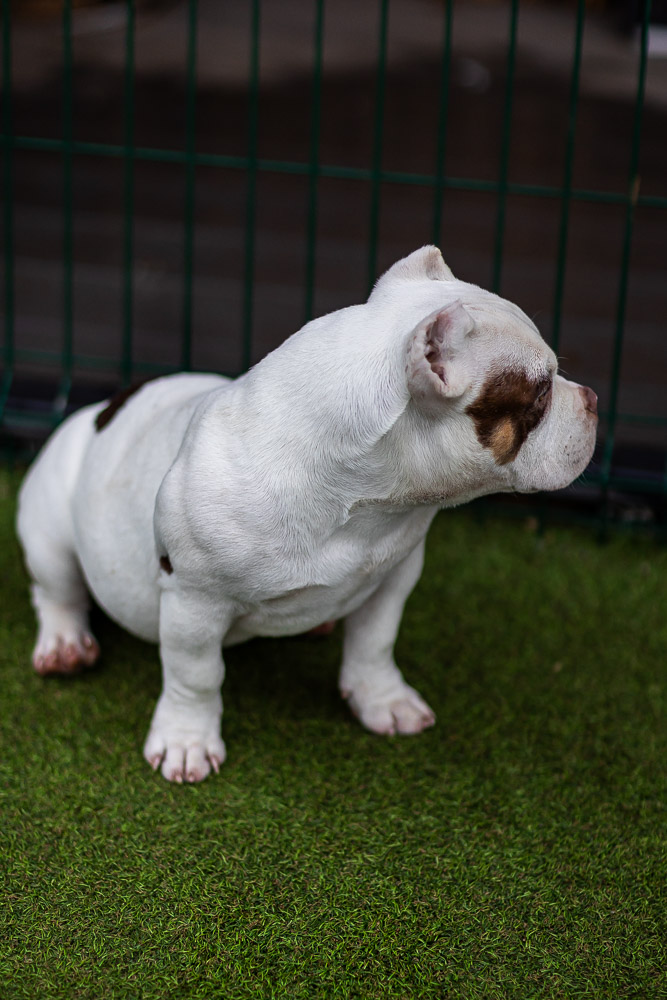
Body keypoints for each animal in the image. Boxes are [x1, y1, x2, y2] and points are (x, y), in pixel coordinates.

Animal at [16, 246, 598, 782]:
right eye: (539, 394)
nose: (592, 398)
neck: (363, 500)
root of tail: (97, 411)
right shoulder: (193, 602)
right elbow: (195, 675)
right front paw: (187, 739)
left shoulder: (394, 573)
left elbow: (375, 642)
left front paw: (382, 700)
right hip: (48, 531)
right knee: (57, 590)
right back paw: (65, 644)